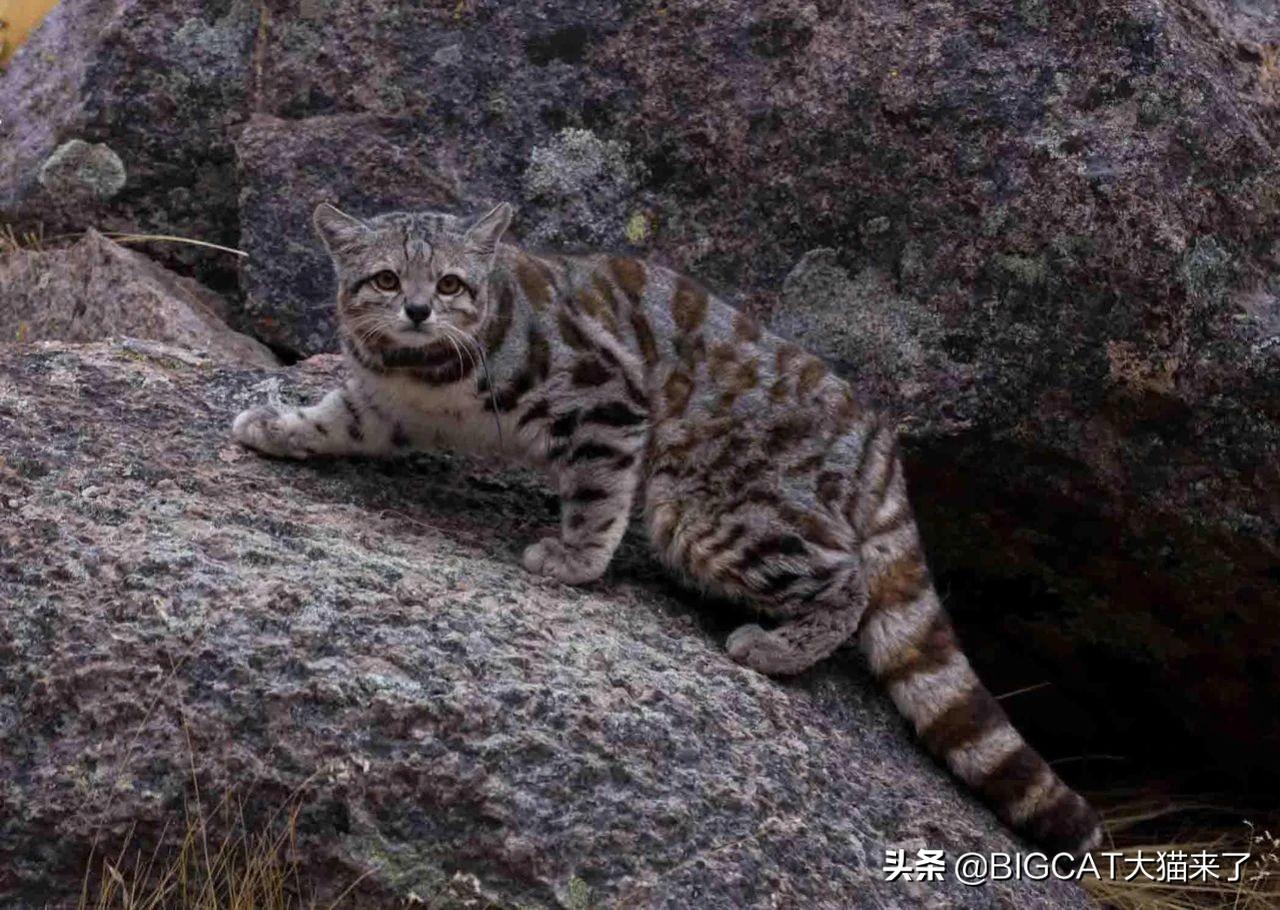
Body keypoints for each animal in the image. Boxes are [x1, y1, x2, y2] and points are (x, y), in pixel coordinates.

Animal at [227, 200, 1100, 854]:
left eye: (449, 282)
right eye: (383, 278)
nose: (414, 310)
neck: (427, 372)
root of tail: (878, 439)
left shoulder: (606, 395)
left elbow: (600, 493)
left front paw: (576, 557)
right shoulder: (381, 407)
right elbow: (333, 419)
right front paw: (278, 426)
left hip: (713, 511)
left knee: (847, 579)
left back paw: (777, 648)